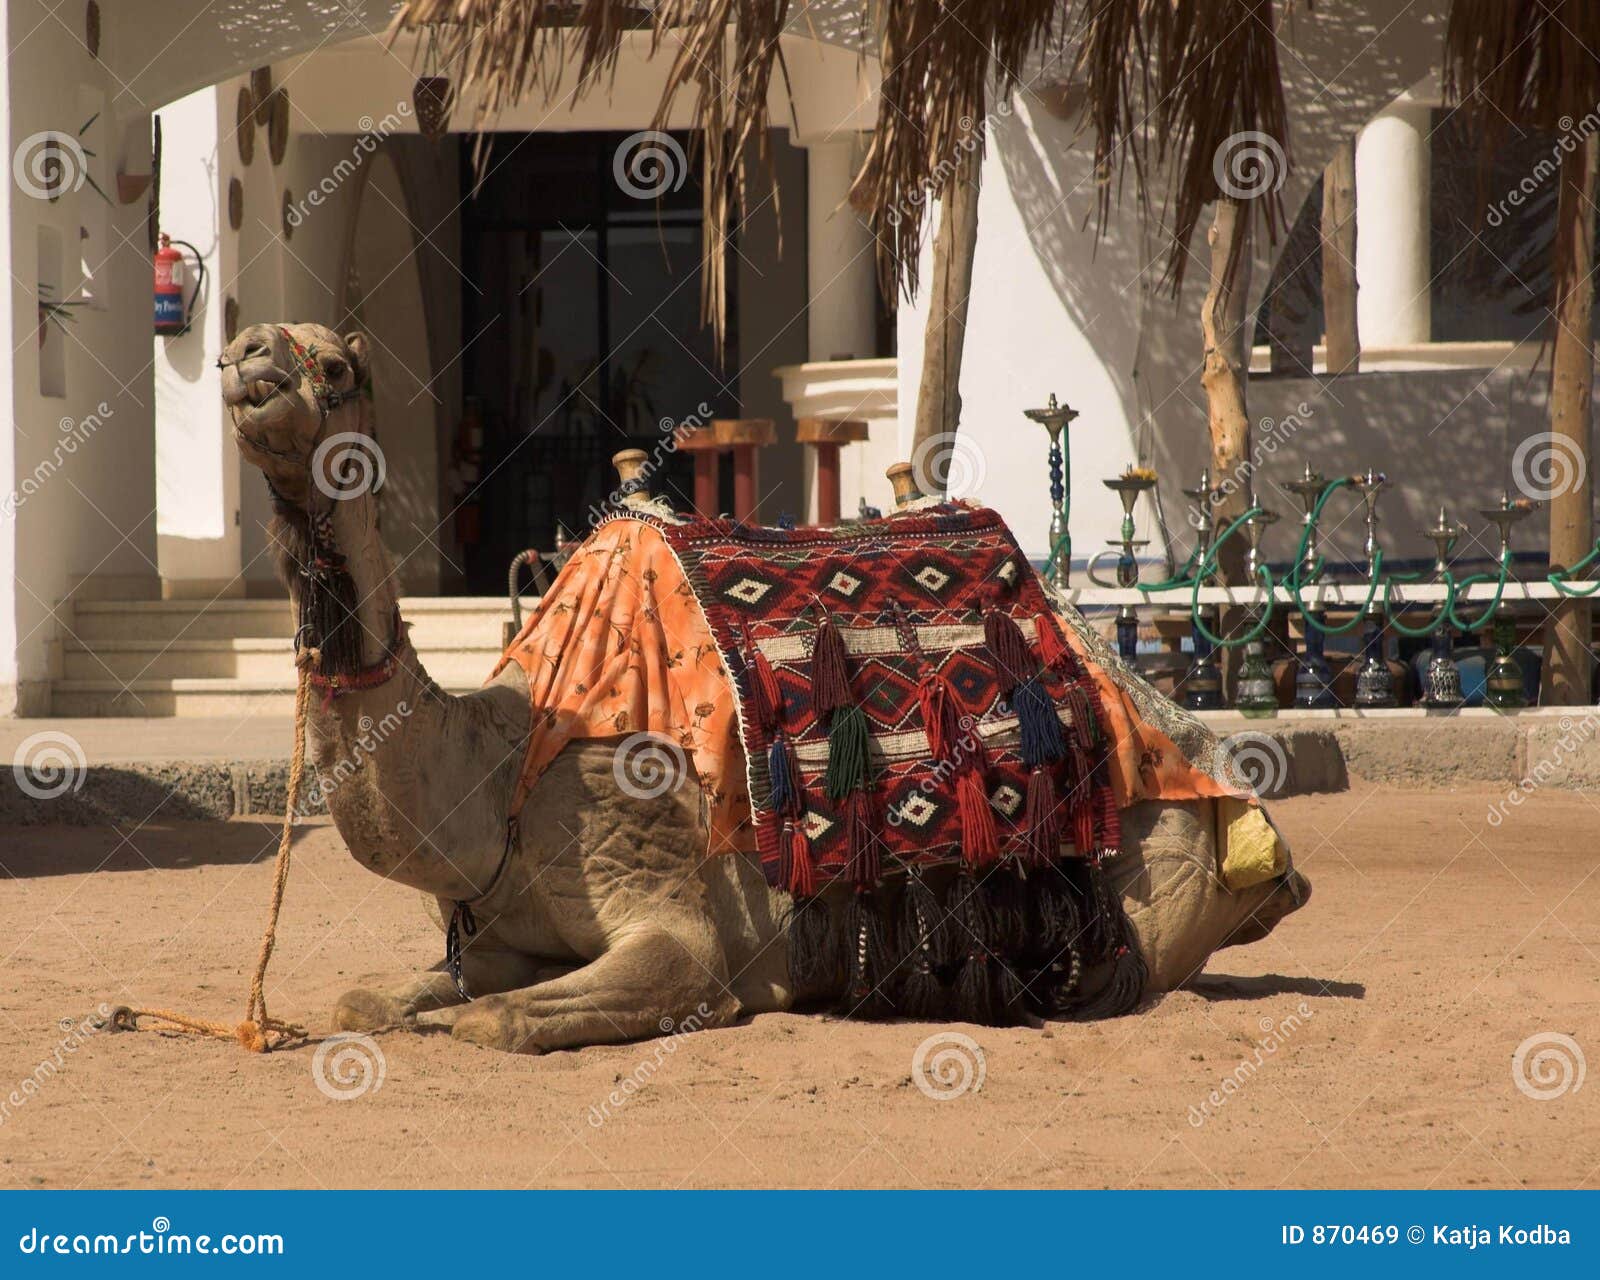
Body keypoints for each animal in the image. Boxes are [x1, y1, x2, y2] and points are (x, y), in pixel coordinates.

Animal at [216, 324, 1312, 1056]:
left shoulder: (659, 893)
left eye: (337, 367)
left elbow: (507, 1019)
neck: (498, 777)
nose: (245, 354)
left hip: (1151, 881)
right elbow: (373, 1002)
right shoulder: (490, 933)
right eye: (259, 343)